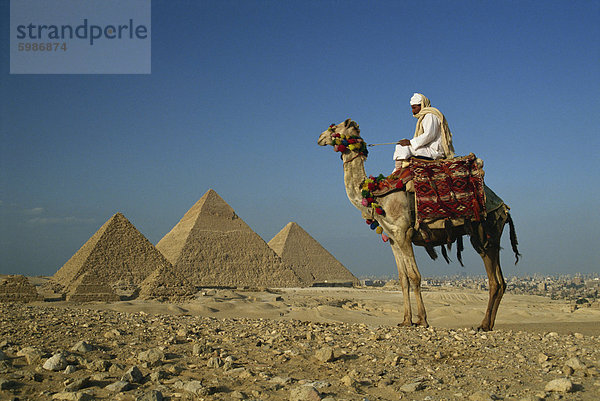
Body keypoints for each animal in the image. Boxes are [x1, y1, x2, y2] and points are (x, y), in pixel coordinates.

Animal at [316, 119, 516, 332]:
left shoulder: (404, 233)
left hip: (485, 232)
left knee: (494, 281)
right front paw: (405, 320)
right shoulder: (393, 239)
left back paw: (483, 324)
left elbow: (415, 276)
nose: (320, 137)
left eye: (336, 127)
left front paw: (422, 320)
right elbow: (403, 279)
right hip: (489, 236)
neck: (376, 194)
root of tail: (503, 206)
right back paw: (488, 324)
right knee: (501, 282)